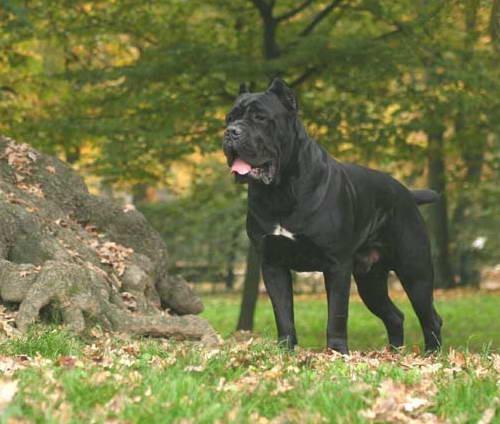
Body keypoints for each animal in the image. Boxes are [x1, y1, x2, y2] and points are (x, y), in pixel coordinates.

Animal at [223, 78, 442, 352]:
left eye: (260, 118)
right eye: (230, 118)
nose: (231, 131)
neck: (280, 191)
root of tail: (407, 193)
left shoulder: (337, 265)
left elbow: (337, 313)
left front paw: (337, 351)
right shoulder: (273, 264)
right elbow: (282, 313)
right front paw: (285, 350)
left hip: (415, 271)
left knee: (430, 317)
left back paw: (431, 355)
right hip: (370, 280)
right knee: (395, 316)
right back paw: (395, 353)